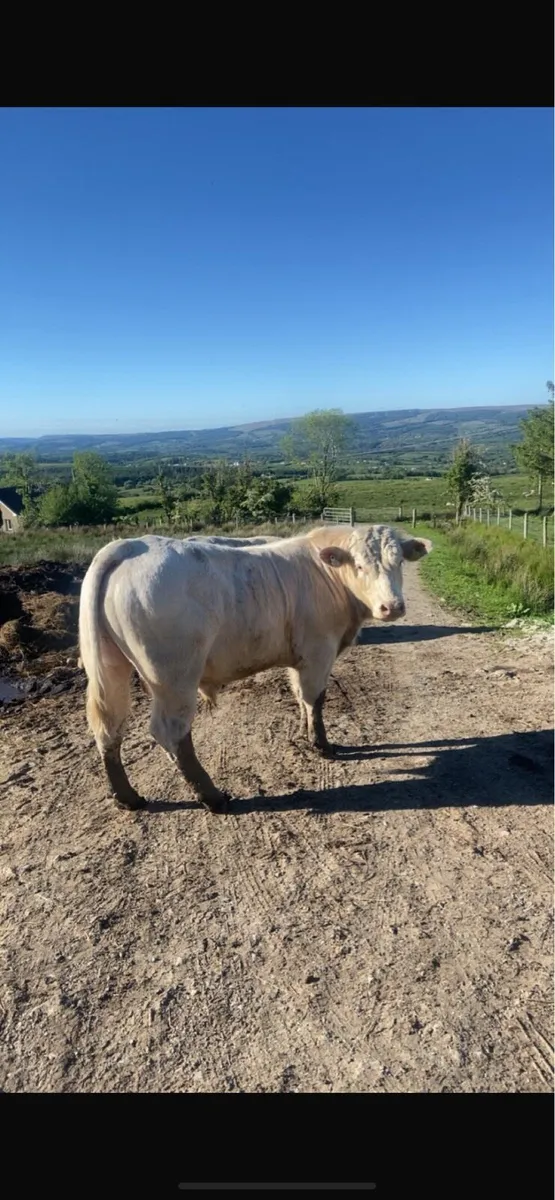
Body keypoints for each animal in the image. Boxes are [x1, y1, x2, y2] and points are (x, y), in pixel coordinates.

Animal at [78, 524, 431, 814]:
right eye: (359, 565)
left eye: (399, 562)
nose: (392, 607)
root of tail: (130, 545)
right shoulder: (319, 650)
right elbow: (315, 698)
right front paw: (322, 745)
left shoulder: (300, 656)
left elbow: (300, 696)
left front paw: (304, 732)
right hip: (173, 676)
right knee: (171, 732)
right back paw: (212, 797)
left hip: (112, 667)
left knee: (109, 727)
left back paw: (128, 797)